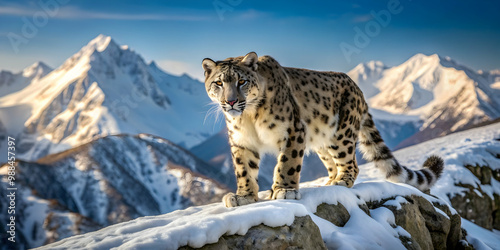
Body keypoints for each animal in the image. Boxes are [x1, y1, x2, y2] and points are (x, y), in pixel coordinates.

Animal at [201, 51, 444, 207]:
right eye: (219, 83)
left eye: (241, 81)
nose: (231, 102)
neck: (249, 118)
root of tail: (359, 90)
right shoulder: (241, 141)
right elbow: (244, 169)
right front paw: (243, 196)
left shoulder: (293, 131)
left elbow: (287, 163)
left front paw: (285, 190)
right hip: (322, 143)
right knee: (332, 164)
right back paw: (327, 184)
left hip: (342, 135)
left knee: (351, 163)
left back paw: (340, 181)